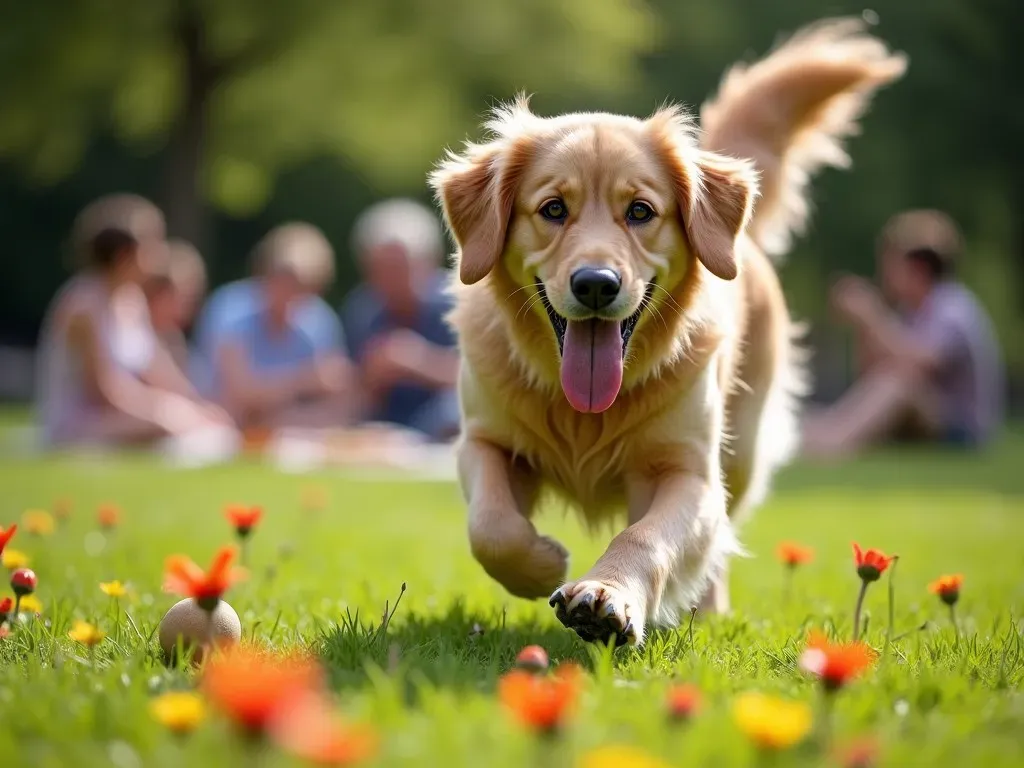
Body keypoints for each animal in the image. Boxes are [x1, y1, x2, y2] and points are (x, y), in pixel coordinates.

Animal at [428, 18, 909, 647]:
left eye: (640, 211)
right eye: (553, 209)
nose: (596, 284)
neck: (584, 413)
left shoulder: (690, 472)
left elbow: (647, 536)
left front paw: (605, 596)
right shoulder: (482, 440)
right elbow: (491, 526)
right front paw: (541, 563)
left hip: (742, 449)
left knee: (722, 539)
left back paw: (705, 610)